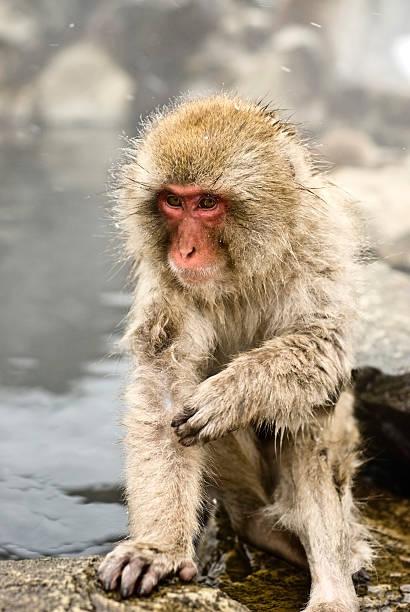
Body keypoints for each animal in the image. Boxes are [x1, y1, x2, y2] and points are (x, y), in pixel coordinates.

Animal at [98, 93, 372, 608]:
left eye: (207, 203)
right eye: (173, 201)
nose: (184, 252)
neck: (242, 270)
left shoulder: (318, 244)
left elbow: (322, 349)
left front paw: (229, 396)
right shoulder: (167, 279)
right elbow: (166, 389)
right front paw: (159, 549)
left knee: (309, 412)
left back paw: (331, 583)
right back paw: (258, 528)